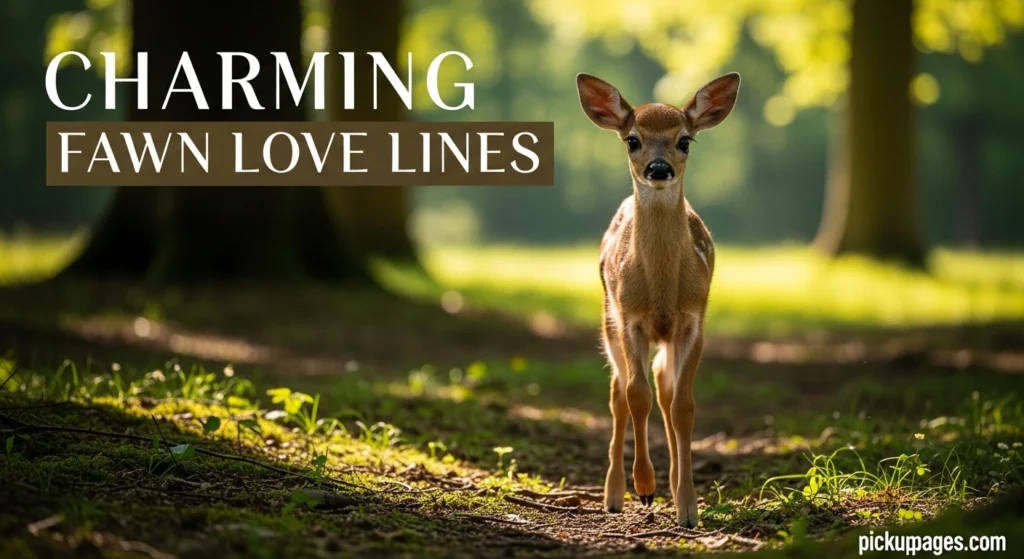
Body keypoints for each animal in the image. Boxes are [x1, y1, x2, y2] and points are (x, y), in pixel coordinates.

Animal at [575, 71, 740, 527]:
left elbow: (682, 406)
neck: (663, 289)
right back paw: (615, 494)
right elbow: (637, 397)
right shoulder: (630, 318)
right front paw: (644, 487)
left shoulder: (693, 321)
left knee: (664, 389)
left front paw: (687, 506)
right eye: (632, 139)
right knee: (619, 392)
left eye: (685, 140)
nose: (659, 168)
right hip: (608, 323)